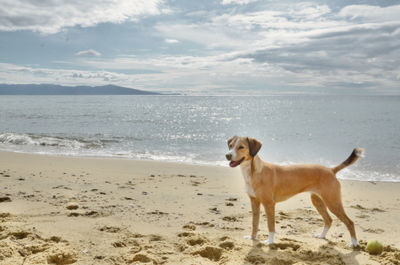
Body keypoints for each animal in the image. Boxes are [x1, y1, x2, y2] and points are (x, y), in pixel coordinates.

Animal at [227, 135, 364, 246]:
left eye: (241, 147)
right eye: (230, 145)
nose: (227, 155)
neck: (253, 172)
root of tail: (331, 170)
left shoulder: (269, 204)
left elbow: (271, 225)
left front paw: (270, 241)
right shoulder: (254, 202)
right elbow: (254, 223)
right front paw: (252, 238)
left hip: (332, 202)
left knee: (350, 222)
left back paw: (354, 243)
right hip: (317, 201)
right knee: (328, 220)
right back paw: (321, 236)